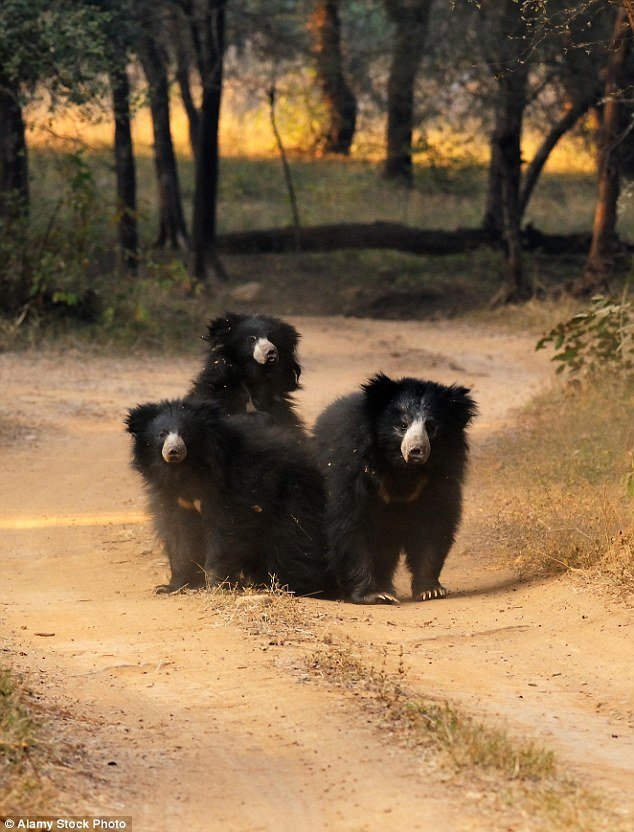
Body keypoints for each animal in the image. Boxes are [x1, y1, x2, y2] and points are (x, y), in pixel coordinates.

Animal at [126, 400, 328, 596]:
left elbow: (227, 529)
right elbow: (178, 533)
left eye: (185, 432)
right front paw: (170, 587)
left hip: (293, 496)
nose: (173, 451)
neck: (186, 469)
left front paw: (215, 584)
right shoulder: (171, 495)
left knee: (291, 542)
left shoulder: (235, 483)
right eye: (162, 433)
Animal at [312, 376, 474, 604]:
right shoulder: (351, 467)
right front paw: (374, 594)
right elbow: (349, 522)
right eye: (402, 425)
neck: (402, 467)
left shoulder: (437, 479)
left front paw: (430, 590)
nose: (416, 451)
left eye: (431, 426)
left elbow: (434, 523)